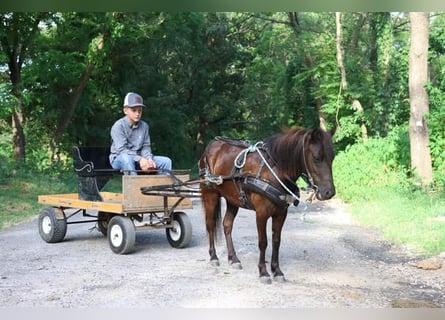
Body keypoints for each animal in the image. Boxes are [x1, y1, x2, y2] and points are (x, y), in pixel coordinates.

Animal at [197, 127, 332, 282]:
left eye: (332, 157)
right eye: (317, 158)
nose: (329, 192)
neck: (274, 173)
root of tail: (212, 145)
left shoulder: (281, 213)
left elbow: (276, 241)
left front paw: (277, 271)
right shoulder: (261, 214)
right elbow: (263, 242)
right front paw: (263, 272)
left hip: (232, 199)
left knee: (227, 225)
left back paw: (233, 259)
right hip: (210, 195)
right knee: (210, 225)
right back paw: (213, 257)